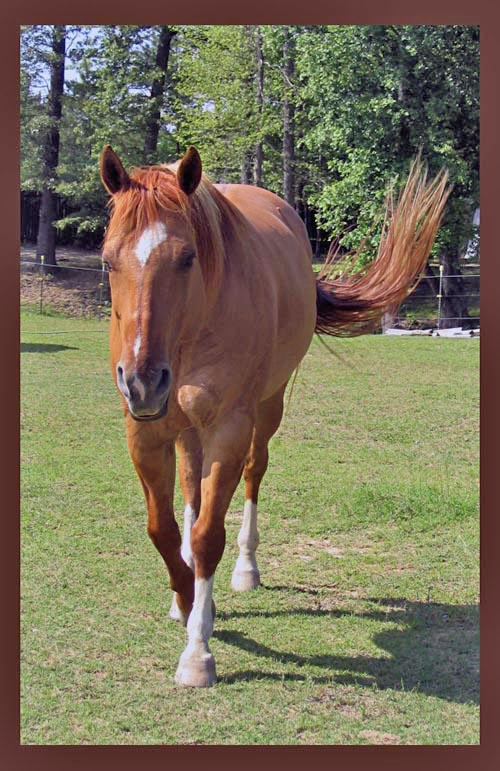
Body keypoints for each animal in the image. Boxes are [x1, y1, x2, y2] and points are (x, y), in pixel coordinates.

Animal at [99, 145, 448, 687]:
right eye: (108, 261)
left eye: (187, 257)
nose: (141, 380)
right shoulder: (145, 431)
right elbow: (164, 529)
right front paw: (187, 599)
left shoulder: (229, 429)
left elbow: (208, 537)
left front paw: (197, 650)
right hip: (184, 427)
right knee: (191, 490)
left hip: (267, 410)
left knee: (251, 476)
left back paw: (245, 569)